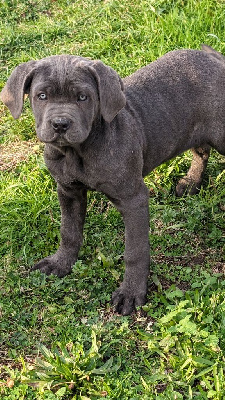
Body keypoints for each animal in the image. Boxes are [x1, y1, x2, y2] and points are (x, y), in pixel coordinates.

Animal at [0, 45, 224, 314]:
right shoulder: (67, 190)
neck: (78, 152)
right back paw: (191, 182)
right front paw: (61, 262)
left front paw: (131, 293)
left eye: (83, 97)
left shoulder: (133, 199)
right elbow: (69, 231)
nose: (60, 124)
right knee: (201, 150)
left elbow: (135, 251)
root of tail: (212, 55)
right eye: (41, 96)